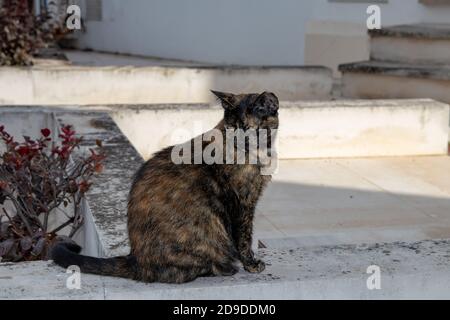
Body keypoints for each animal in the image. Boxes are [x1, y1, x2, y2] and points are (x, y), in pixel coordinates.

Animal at [51, 90, 278, 282]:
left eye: (249, 130)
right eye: (232, 128)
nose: (239, 142)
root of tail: (136, 259)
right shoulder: (242, 202)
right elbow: (244, 236)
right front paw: (251, 264)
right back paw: (225, 267)